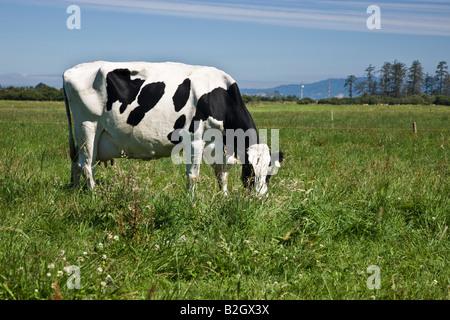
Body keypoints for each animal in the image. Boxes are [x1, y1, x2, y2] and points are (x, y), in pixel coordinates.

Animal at [62, 60, 284, 195]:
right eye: (250, 171)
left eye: (269, 173)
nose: (259, 198)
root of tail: (71, 70)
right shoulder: (195, 139)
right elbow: (193, 175)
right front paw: (192, 203)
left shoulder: (219, 145)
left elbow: (222, 174)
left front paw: (225, 198)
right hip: (87, 125)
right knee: (86, 165)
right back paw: (94, 196)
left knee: (77, 162)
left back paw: (77, 193)